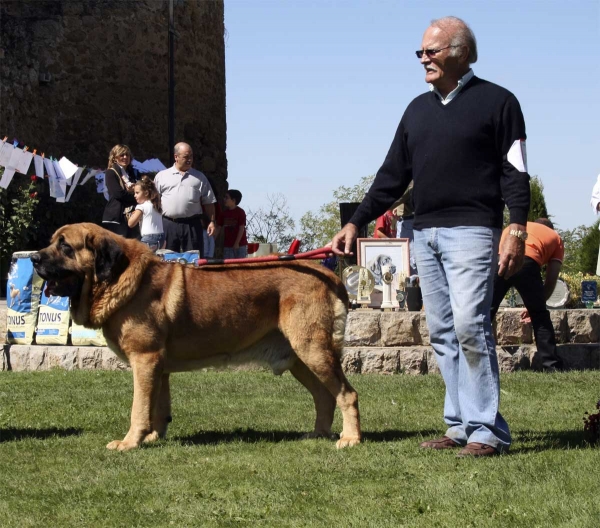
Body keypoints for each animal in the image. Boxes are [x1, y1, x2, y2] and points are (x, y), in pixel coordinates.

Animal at [31, 223, 360, 450]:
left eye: (65, 246)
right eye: (51, 242)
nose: (33, 258)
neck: (119, 278)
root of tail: (330, 275)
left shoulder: (144, 360)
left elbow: (139, 407)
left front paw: (129, 442)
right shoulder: (158, 367)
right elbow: (157, 406)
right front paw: (153, 436)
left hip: (313, 350)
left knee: (347, 394)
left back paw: (350, 438)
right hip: (300, 359)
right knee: (324, 396)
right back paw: (317, 434)